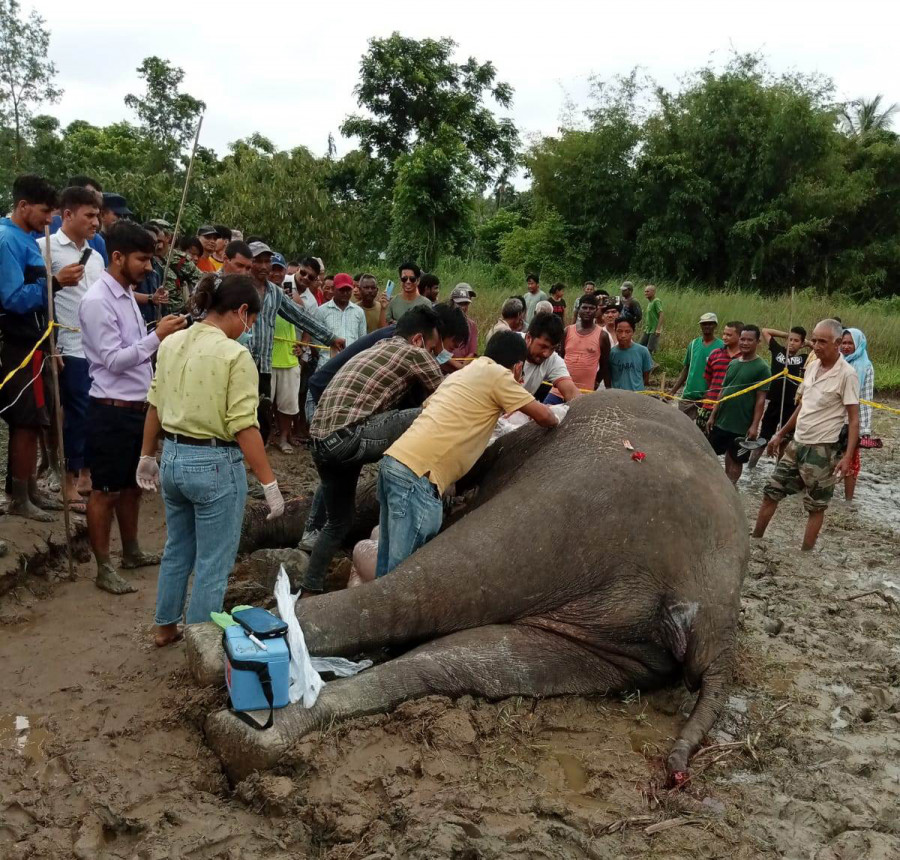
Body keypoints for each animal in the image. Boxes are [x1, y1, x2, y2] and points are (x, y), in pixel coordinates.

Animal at [204, 394, 744, 784]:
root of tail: (716, 621)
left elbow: (366, 504)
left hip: (577, 507)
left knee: (444, 581)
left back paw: (222, 654)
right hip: (619, 635)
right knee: (477, 656)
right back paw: (247, 726)